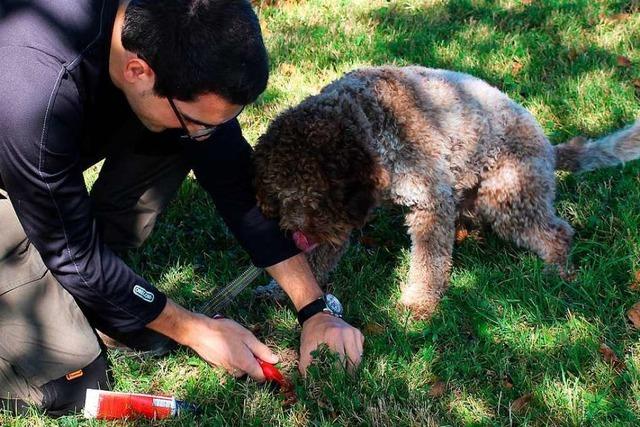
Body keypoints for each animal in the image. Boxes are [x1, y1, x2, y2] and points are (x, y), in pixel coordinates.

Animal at [252, 67, 640, 320]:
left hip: (507, 195)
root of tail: (549, 148)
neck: (370, 120)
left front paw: (419, 302)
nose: (297, 232)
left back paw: (556, 269)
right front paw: (279, 291)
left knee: (557, 232)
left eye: (317, 198)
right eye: (282, 196)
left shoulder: (430, 202)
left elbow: (429, 261)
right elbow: (315, 261)